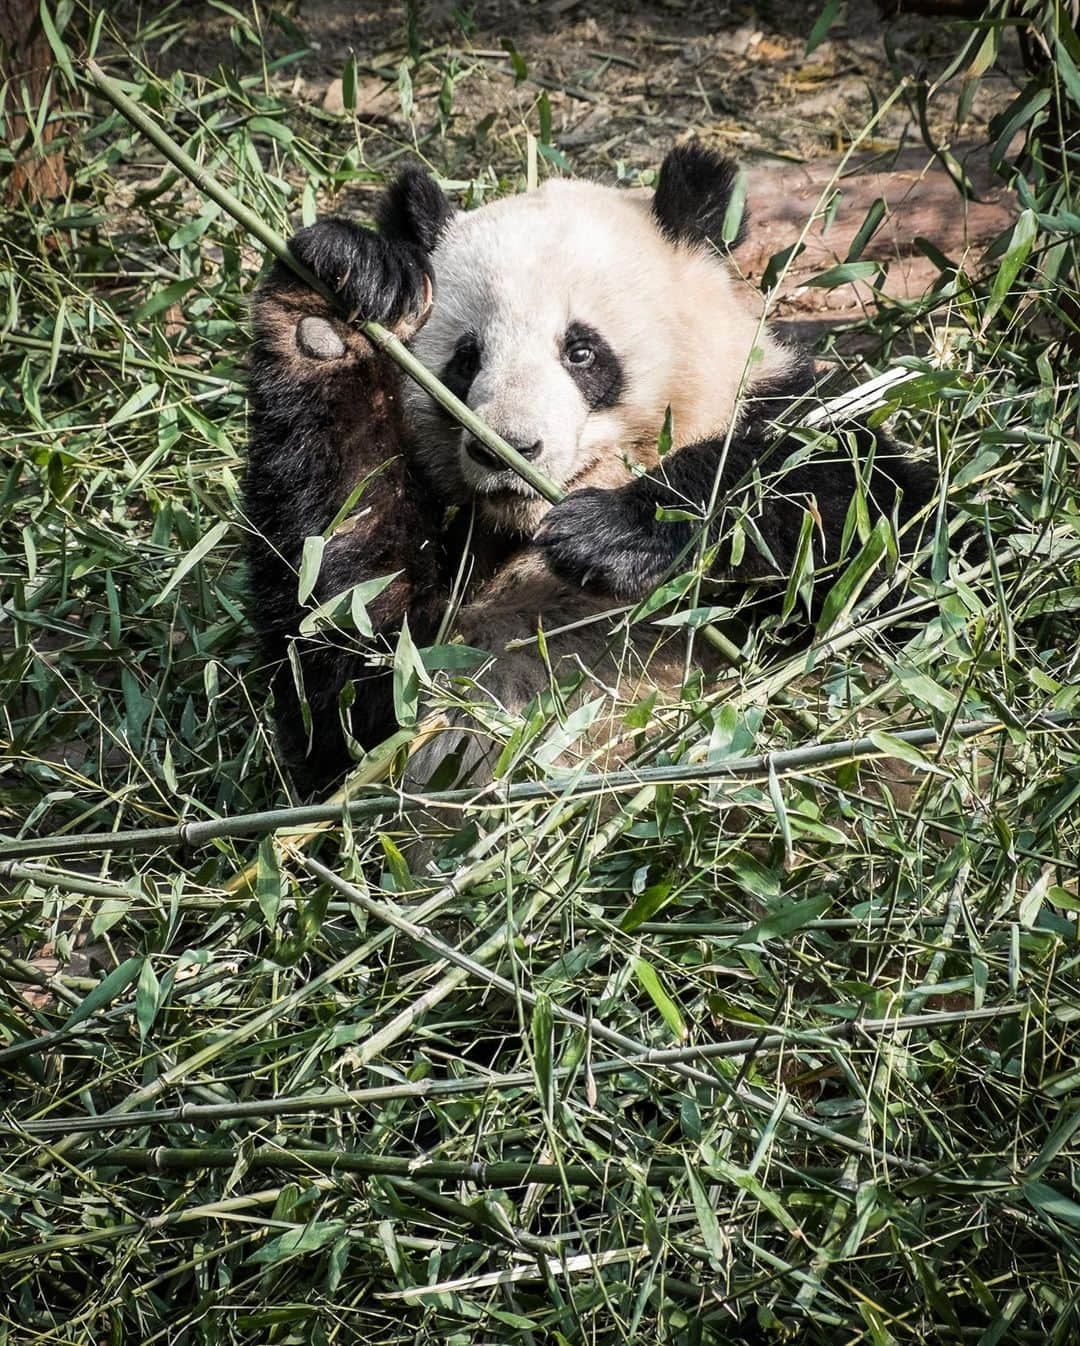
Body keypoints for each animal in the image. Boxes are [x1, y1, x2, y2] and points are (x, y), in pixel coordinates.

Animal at [243, 144, 931, 796]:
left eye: (581, 352)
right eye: (466, 360)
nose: (508, 448)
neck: (529, 533)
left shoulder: (782, 405)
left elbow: (880, 535)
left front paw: (617, 530)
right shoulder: (427, 635)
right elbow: (343, 637)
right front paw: (339, 293)